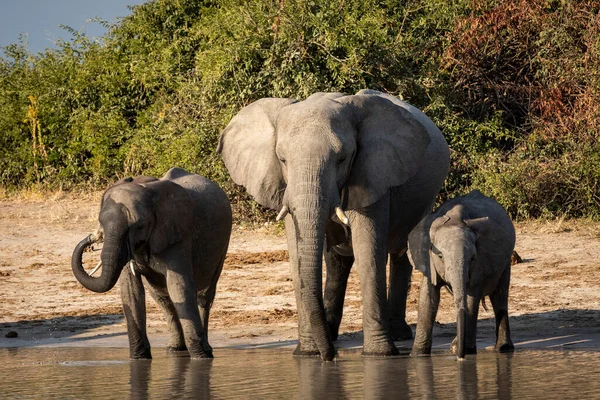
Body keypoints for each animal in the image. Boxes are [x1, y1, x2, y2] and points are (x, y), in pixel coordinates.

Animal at [69, 167, 230, 360]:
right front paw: (139, 359)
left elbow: (179, 287)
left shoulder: (178, 236)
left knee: (204, 295)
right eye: (101, 223)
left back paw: (206, 350)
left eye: (139, 226)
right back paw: (175, 349)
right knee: (162, 298)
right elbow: (131, 291)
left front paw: (201, 358)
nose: (90, 239)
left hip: (222, 244)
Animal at [218, 90, 448, 360]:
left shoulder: (374, 175)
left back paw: (398, 335)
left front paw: (379, 355)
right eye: (282, 160)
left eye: (342, 159)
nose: (331, 358)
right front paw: (306, 354)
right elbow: (296, 253)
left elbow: (368, 251)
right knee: (338, 262)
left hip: (425, 195)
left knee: (402, 252)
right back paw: (333, 334)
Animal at [408, 191, 516, 360]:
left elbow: (471, 299)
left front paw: (468, 352)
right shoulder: (428, 261)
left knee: (500, 296)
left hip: (506, 262)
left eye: (472, 258)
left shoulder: (480, 262)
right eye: (440, 257)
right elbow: (428, 297)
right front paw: (417, 355)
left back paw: (503, 349)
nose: (460, 357)